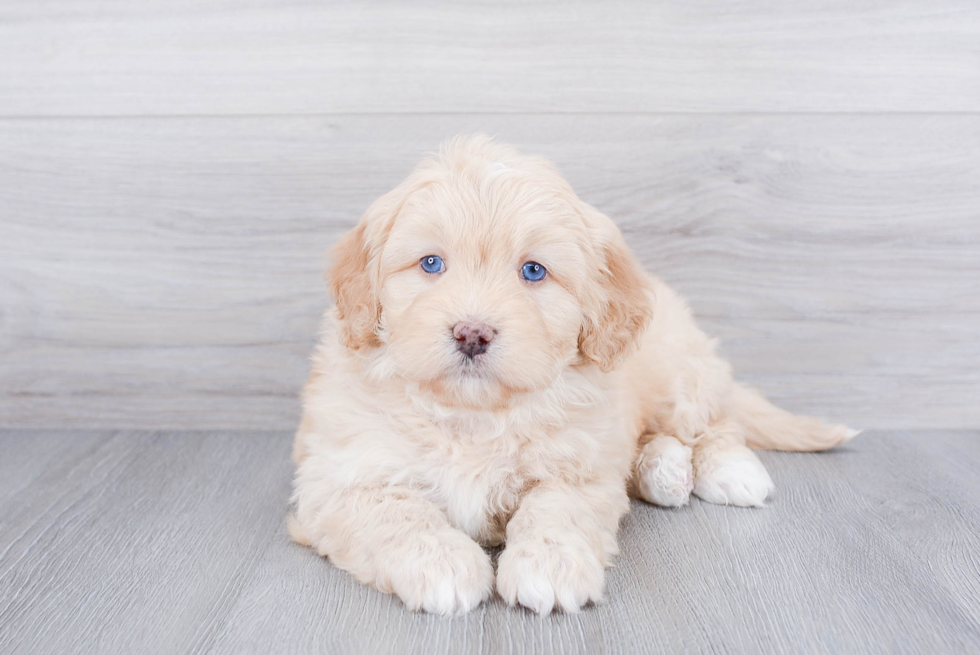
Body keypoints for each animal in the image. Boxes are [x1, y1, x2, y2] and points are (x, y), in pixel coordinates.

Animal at [288, 136, 852, 616]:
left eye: (533, 271)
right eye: (430, 264)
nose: (472, 333)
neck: (473, 415)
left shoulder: (580, 464)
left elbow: (556, 508)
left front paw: (549, 567)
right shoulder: (338, 478)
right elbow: (397, 512)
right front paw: (442, 564)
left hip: (678, 372)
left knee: (715, 421)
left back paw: (729, 470)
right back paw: (665, 472)